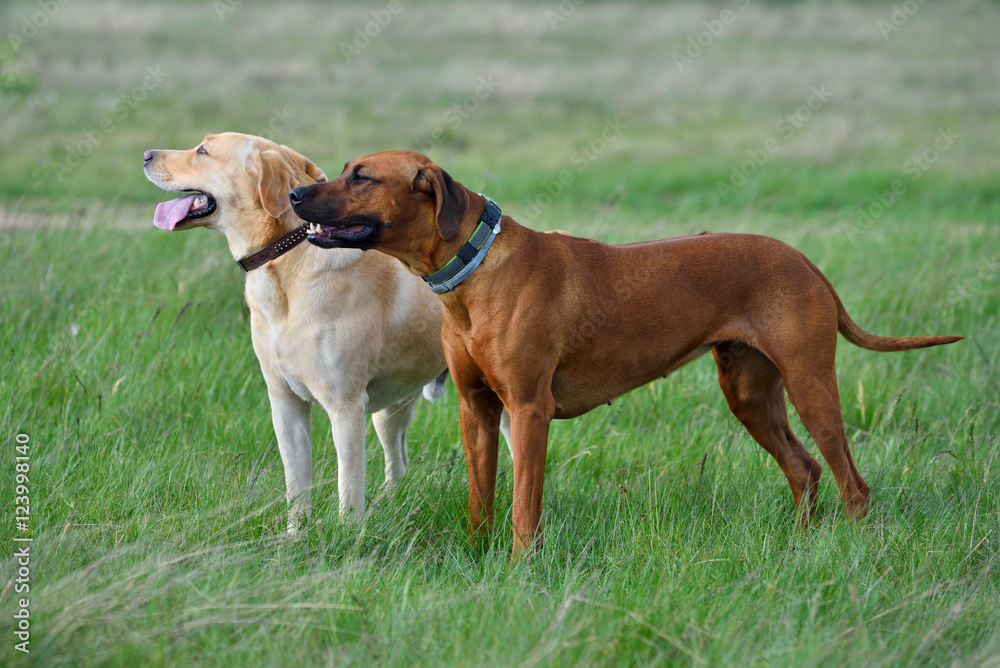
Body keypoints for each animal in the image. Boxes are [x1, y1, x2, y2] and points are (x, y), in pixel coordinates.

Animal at [142, 133, 454, 536]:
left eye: (203, 151)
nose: (146, 155)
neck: (287, 260)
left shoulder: (345, 406)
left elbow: (348, 487)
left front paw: (347, 537)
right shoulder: (285, 403)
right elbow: (297, 483)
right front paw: (294, 535)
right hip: (390, 412)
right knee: (398, 464)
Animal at [290, 151, 960, 560]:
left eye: (361, 177)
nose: (295, 192)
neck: (474, 268)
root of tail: (806, 261)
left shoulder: (528, 411)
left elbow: (524, 503)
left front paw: (520, 564)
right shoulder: (476, 410)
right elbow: (483, 498)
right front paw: (478, 556)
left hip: (811, 383)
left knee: (852, 482)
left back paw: (853, 546)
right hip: (750, 393)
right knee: (805, 470)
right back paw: (800, 544)